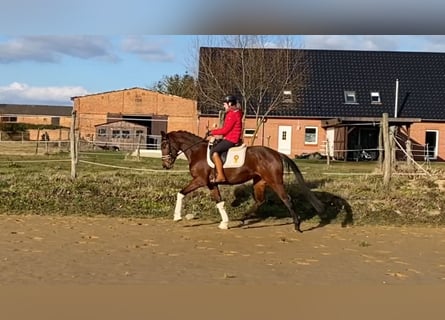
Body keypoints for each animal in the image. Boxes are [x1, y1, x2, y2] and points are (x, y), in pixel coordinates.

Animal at [159, 130, 322, 232]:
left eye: (164, 145)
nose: (165, 165)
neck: (197, 152)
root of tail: (276, 153)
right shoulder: (211, 184)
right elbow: (219, 202)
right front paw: (224, 223)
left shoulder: (200, 180)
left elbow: (180, 193)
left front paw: (177, 217)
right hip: (259, 182)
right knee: (260, 201)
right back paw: (243, 218)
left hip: (275, 181)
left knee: (286, 199)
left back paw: (297, 226)